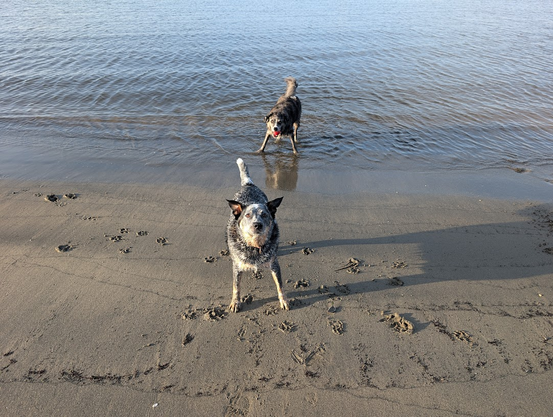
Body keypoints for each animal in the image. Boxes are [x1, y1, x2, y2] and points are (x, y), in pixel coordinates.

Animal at [226, 158, 288, 310]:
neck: (255, 245)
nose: (257, 224)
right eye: (247, 215)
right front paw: (235, 302)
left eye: (264, 214)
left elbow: (280, 285)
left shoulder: (274, 264)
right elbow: (236, 286)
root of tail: (248, 184)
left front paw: (283, 300)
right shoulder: (237, 267)